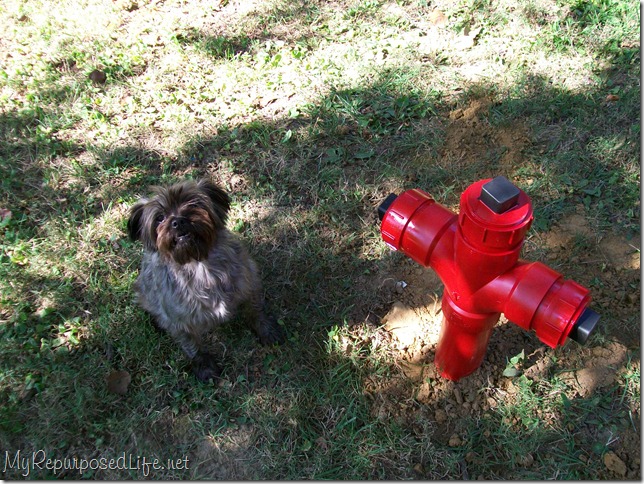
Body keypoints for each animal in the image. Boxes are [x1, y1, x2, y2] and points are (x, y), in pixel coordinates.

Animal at [127, 178, 284, 382]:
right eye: (159, 218)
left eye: (193, 203)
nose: (178, 221)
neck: (200, 265)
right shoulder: (179, 321)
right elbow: (192, 346)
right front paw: (204, 366)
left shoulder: (250, 283)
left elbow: (255, 311)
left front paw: (266, 330)